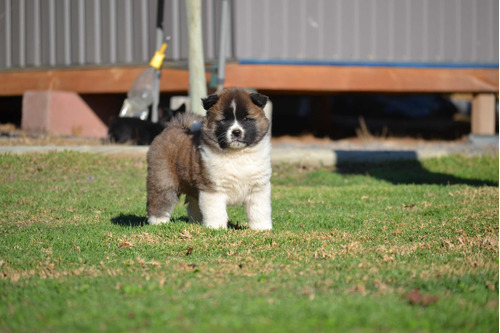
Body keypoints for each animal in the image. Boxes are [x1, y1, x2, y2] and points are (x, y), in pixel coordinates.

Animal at [146, 87, 272, 230]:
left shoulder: (258, 188)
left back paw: (197, 222)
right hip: (163, 179)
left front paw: (262, 228)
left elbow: (259, 210)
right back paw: (158, 221)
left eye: (246, 119)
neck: (237, 153)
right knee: (161, 199)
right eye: (224, 120)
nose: (236, 132)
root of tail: (172, 127)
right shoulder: (212, 188)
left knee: (193, 205)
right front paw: (216, 228)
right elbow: (216, 211)